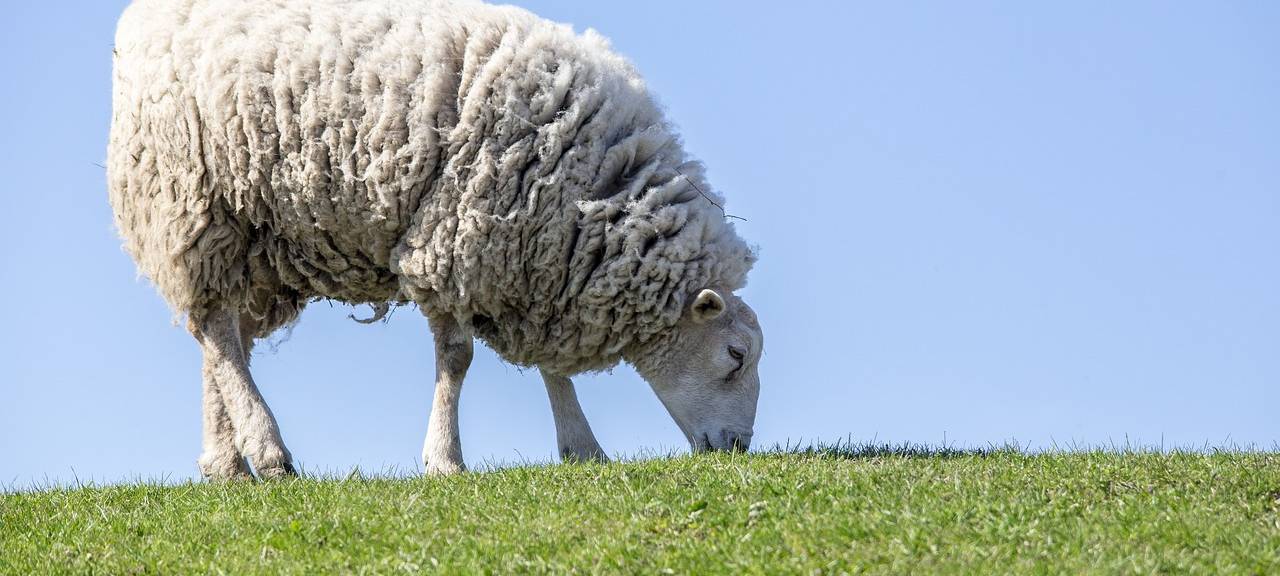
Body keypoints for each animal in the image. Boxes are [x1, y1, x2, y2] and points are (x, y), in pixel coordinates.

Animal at [108, 0, 764, 478]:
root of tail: (143, 15)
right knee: (217, 330)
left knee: (223, 338)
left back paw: (226, 462)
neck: (592, 188)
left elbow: (552, 367)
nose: (737, 448)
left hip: (259, 240)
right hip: (193, 201)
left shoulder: (537, 262)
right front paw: (445, 459)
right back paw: (267, 452)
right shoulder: (456, 242)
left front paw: (583, 447)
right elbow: (457, 358)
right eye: (736, 356)